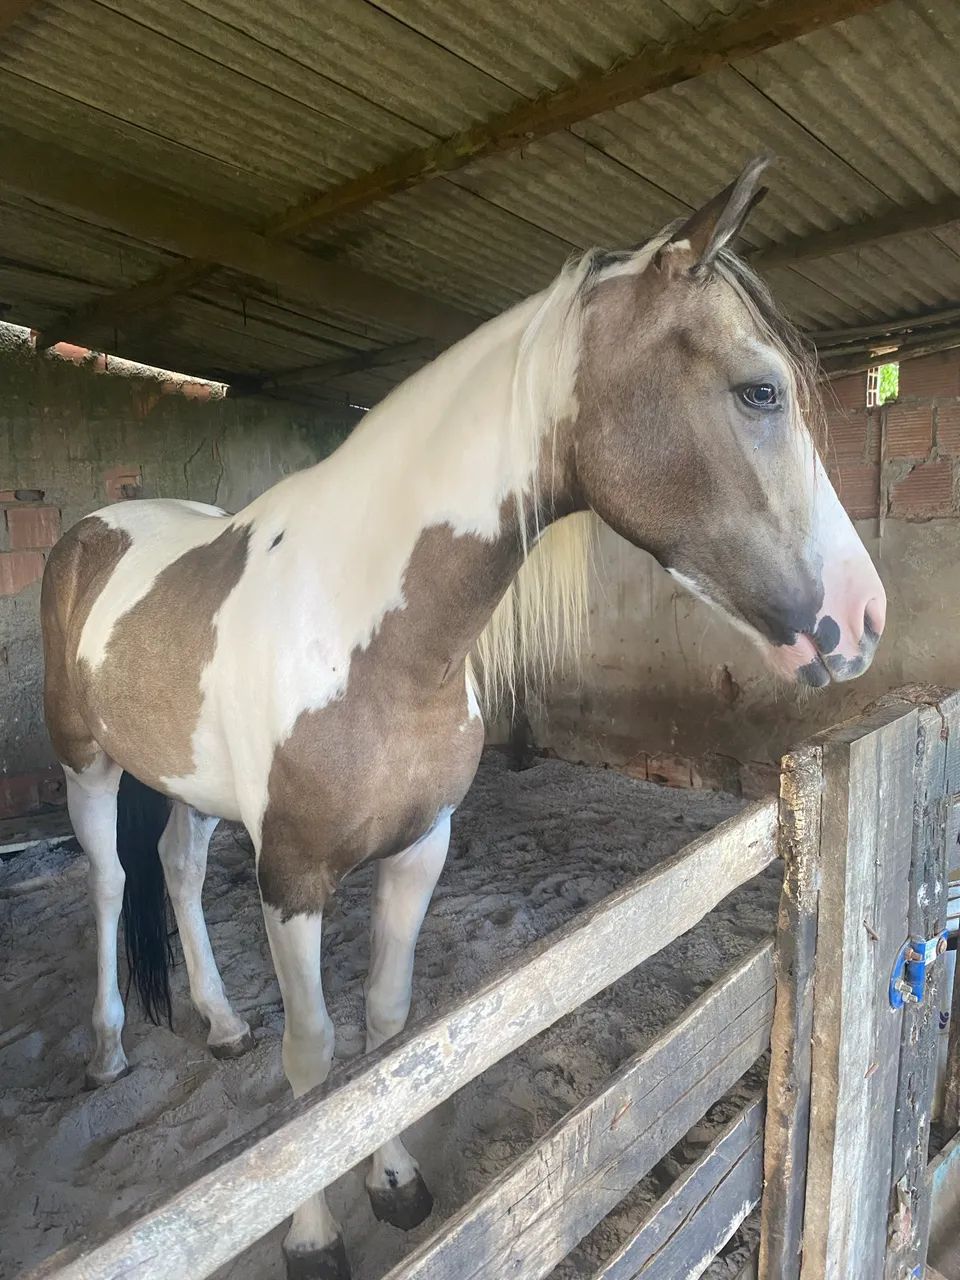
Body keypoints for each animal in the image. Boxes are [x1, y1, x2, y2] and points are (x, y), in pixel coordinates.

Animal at [40, 155, 885, 1280]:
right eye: (759, 390)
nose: (864, 616)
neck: (366, 630)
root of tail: (94, 527)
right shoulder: (293, 875)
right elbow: (315, 1058)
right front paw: (312, 1236)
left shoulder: (420, 847)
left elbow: (389, 1036)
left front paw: (395, 1182)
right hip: (87, 765)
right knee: (106, 883)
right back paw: (105, 1048)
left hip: (193, 784)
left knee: (174, 867)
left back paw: (218, 1023)